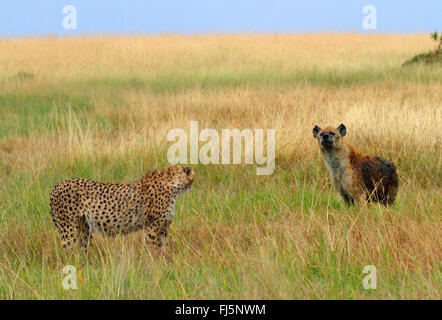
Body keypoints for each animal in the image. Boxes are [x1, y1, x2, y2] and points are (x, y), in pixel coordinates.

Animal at [49, 166, 193, 251]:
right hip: (69, 231)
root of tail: (57, 186)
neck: (174, 185)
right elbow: (153, 250)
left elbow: (162, 249)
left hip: (84, 230)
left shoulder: (164, 227)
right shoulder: (152, 227)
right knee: (70, 255)